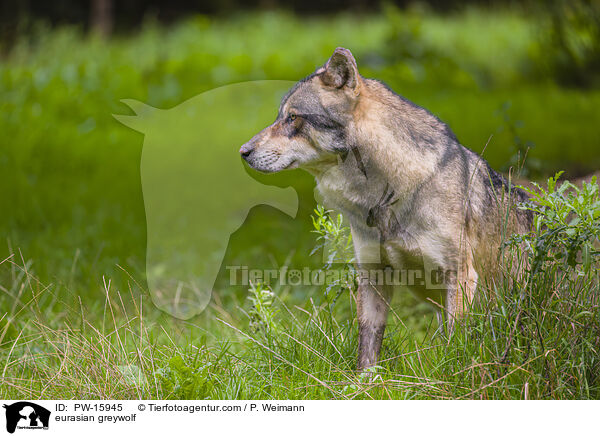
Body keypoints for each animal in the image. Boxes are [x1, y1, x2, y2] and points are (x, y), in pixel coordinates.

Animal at [239, 46, 528, 368]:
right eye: (281, 116)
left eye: (292, 118)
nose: (243, 152)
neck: (386, 197)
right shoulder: (373, 275)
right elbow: (367, 348)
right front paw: (363, 380)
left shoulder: (460, 276)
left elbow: (455, 348)